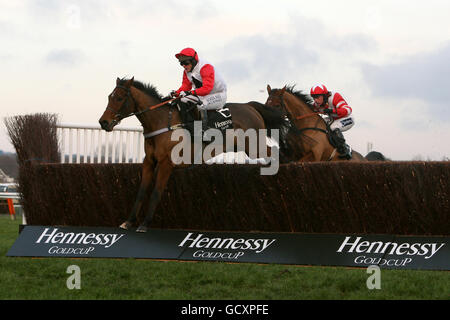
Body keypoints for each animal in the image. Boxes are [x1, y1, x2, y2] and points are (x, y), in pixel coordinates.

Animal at [99, 77, 282, 232]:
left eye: (120, 98)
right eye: (109, 97)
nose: (103, 122)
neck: (160, 121)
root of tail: (251, 107)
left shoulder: (166, 163)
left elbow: (156, 192)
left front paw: (144, 224)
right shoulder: (149, 161)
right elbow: (142, 191)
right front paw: (128, 221)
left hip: (255, 146)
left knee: (274, 153)